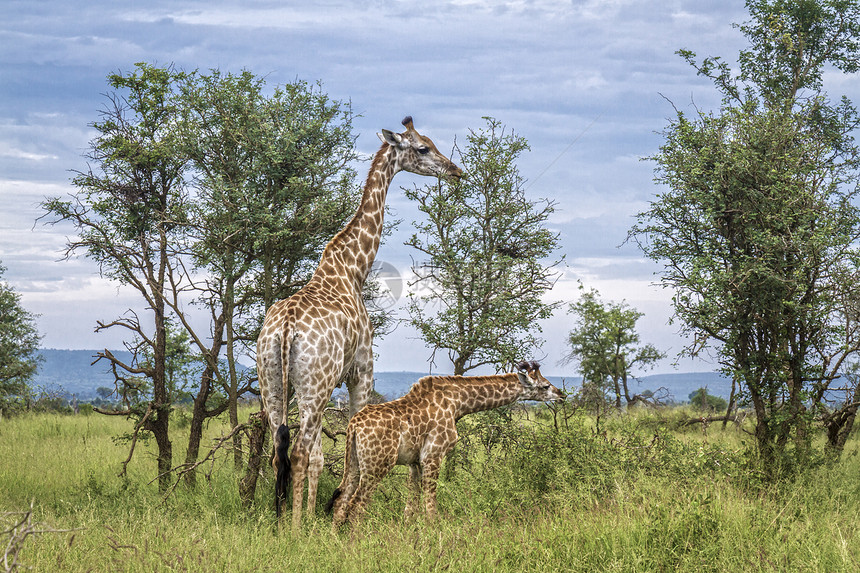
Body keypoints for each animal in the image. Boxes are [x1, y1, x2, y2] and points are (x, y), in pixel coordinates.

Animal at [255, 117, 460, 532]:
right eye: (423, 148)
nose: (455, 171)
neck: (352, 269)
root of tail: (285, 329)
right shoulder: (360, 371)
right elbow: (344, 441)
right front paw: (332, 516)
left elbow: (321, 457)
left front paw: (315, 515)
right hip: (313, 386)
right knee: (300, 451)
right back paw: (295, 529)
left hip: (273, 383)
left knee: (281, 450)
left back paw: (282, 521)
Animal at [326, 360, 560, 528]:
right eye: (545, 385)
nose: (561, 394)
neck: (458, 402)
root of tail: (354, 425)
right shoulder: (433, 454)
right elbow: (430, 506)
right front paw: (433, 535)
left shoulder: (414, 462)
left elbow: (410, 508)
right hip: (378, 463)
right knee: (357, 506)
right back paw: (355, 545)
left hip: (354, 462)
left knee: (341, 500)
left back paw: (336, 541)